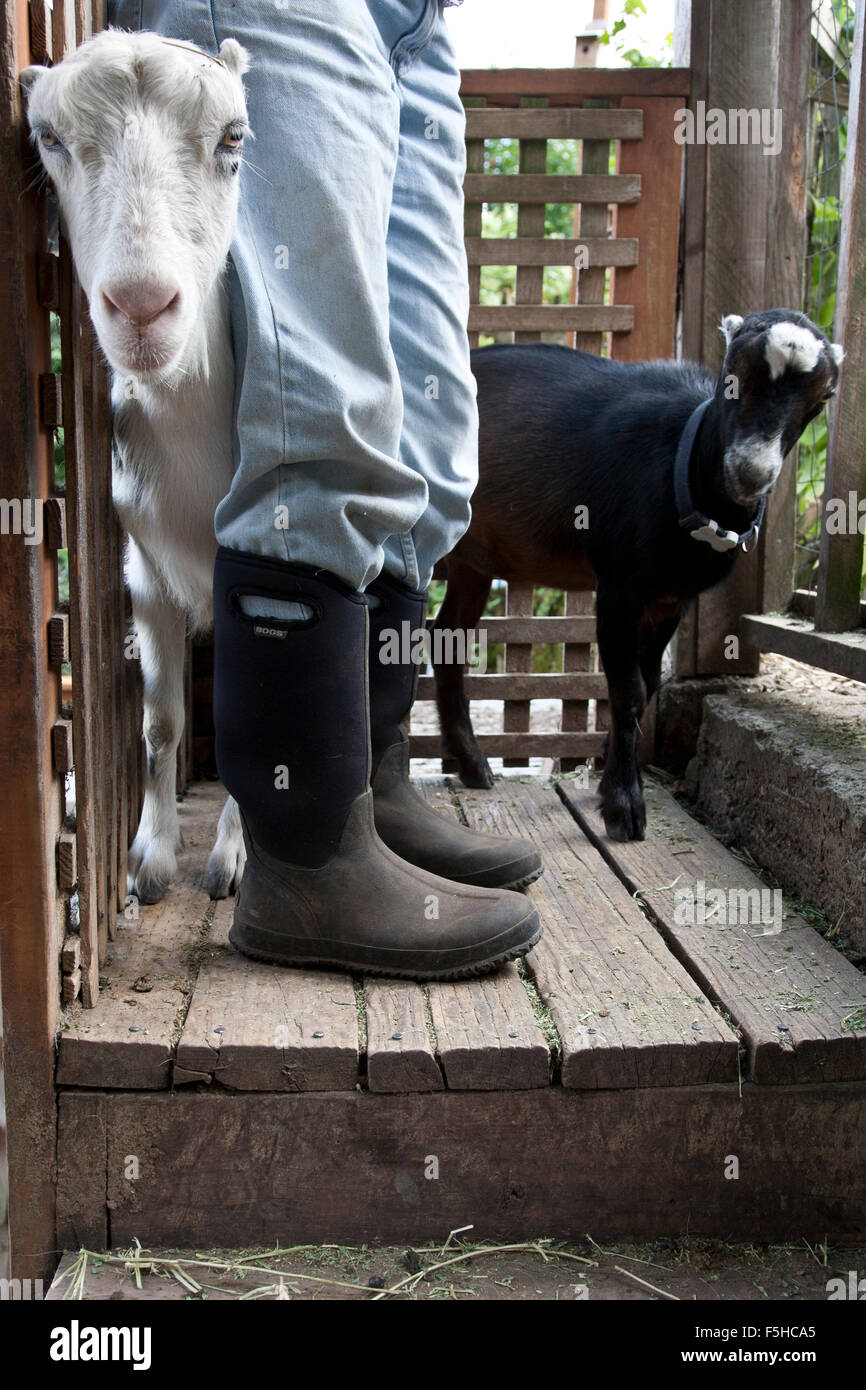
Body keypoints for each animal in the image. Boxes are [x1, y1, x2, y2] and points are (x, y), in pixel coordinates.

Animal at [21, 35, 250, 900]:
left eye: (233, 137)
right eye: (48, 138)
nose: (145, 306)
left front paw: (230, 861)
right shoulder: (145, 572)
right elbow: (160, 721)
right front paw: (148, 860)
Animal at [430, 312, 839, 834]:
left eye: (823, 397)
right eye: (732, 373)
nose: (750, 472)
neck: (680, 467)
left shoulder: (669, 599)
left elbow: (648, 685)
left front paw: (607, 773)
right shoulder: (618, 586)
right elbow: (626, 691)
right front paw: (624, 806)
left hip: (472, 562)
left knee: (447, 641)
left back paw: (473, 765)